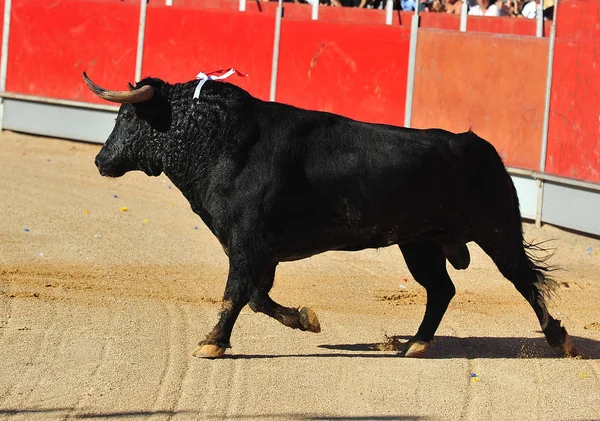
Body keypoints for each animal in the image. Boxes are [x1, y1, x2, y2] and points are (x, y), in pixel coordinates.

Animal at [83, 72, 576, 358]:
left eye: (128, 117)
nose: (101, 161)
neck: (220, 141)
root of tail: (482, 148)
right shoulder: (258, 251)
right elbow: (257, 297)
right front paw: (306, 319)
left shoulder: (246, 244)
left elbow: (235, 294)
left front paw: (211, 343)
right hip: (420, 244)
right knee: (442, 289)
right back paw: (416, 344)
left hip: (496, 231)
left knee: (523, 281)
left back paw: (560, 339)